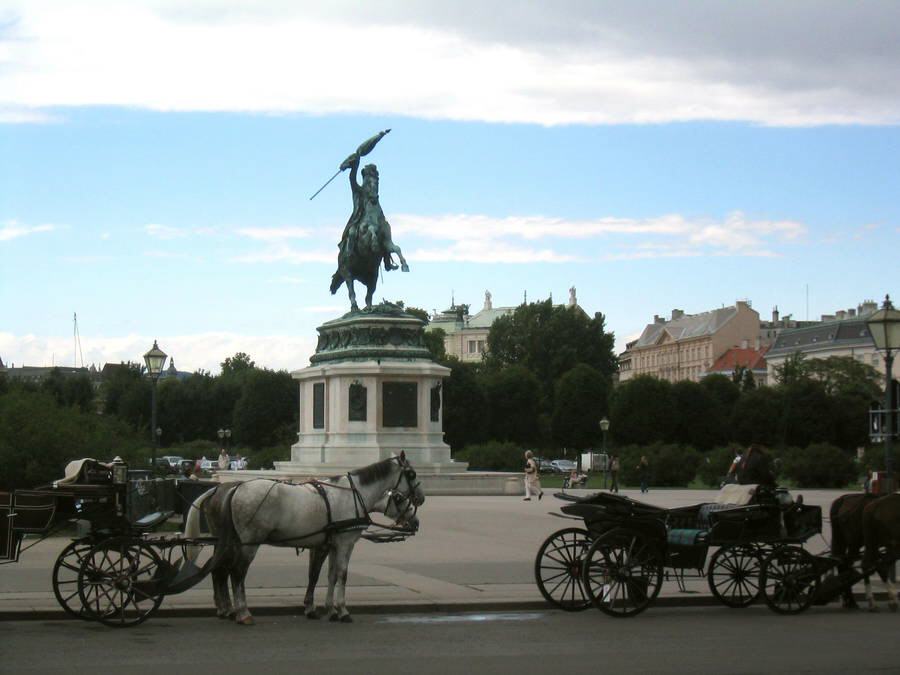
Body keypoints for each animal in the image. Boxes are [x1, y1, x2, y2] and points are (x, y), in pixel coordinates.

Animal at [185, 456, 424, 624]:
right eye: (411, 475)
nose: (421, 499)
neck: (352, 494)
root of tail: (234, 488)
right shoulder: (345, 543)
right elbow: (341, 575)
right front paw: (342, 610)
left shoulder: (331, 544)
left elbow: (328, 575)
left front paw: (328, 609)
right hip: (249, 543)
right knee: (236, 573)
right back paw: (242, 613)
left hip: (231, 541)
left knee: (220, 570)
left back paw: (228, 609)